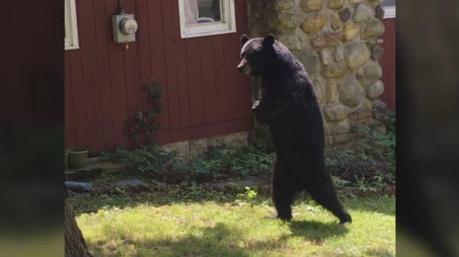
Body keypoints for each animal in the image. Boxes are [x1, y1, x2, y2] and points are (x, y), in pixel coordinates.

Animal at [237, 33, 352, 222]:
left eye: (252, 55)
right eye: (242, 54)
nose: (240, 67)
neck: (272, 70)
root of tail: (300, 183)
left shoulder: (291, 84)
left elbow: (286, 103)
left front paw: (257, 107)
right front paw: (256, 105)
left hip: (314, 170)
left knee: (327, 192)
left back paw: (345, 216)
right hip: (280, 171)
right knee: (280, 193)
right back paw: (281, 216)